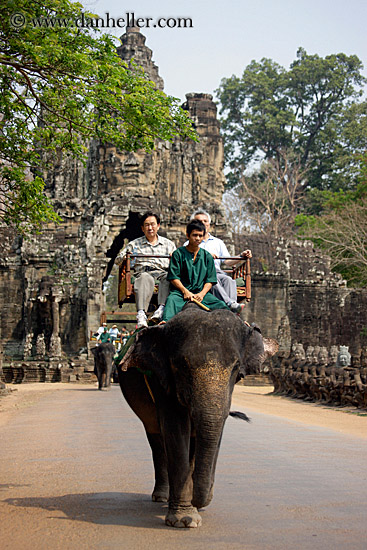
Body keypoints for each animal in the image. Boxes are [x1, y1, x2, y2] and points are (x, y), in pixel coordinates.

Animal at [117, 306, 276, 532]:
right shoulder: (161, 379)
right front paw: (184, 519)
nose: (201, 500)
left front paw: (195, 505)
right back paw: (161, 496)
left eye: (236, 367)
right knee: (156, 436)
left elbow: (213, 428)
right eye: (181, 365)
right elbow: (176, 429)